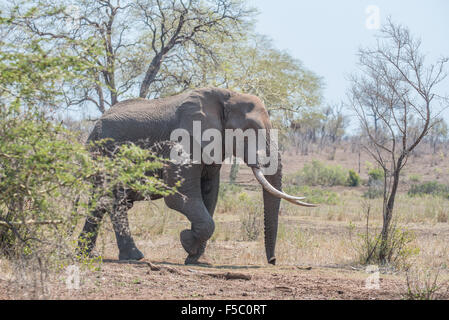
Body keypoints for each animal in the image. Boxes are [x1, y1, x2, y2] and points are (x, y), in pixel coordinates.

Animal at [77, 86, 314, 264]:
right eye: (250, 130)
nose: (273, 261)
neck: (226, 95)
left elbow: (210, 193)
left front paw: (195, 258)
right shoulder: (185, 139)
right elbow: (178, 197)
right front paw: (186, 241)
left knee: (101, 202)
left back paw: (86, 255)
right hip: (107, 155)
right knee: (114, 201)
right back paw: (134, 257)